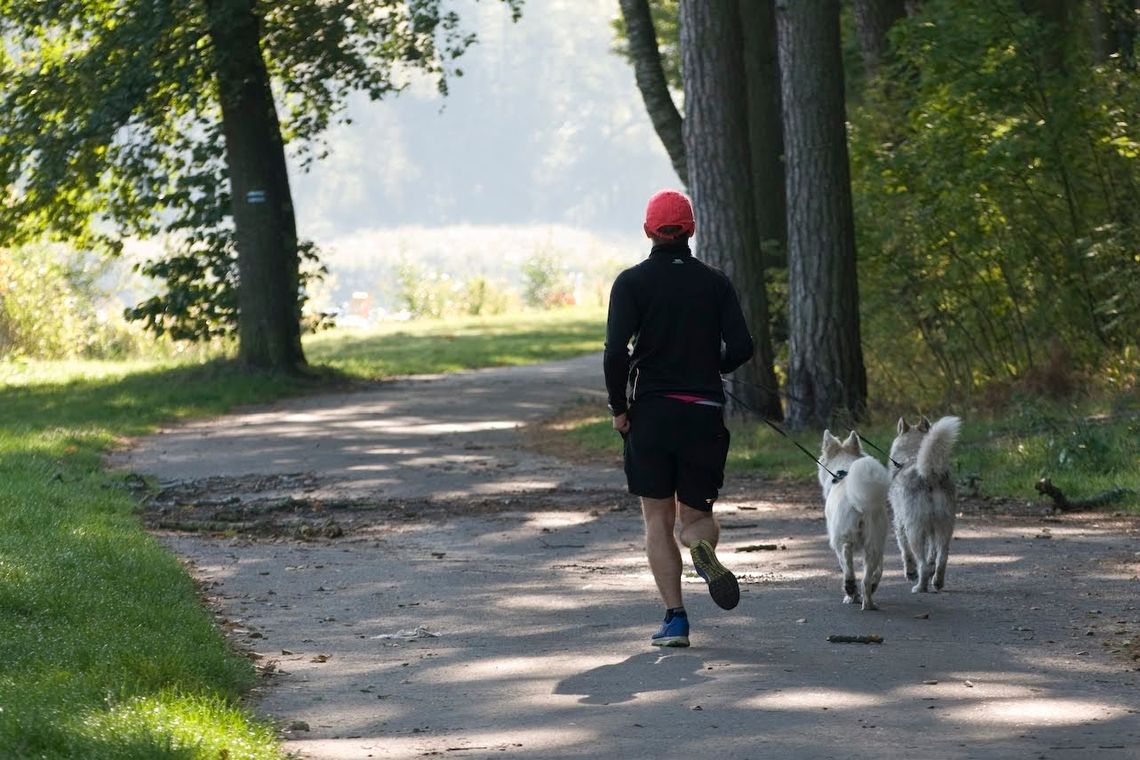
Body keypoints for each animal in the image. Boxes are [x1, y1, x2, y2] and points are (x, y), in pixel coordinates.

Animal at [820, 428, 889, 610]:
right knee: (867, 578)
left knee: (847, 559)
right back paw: (869, 602)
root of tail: (860, 502)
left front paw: (850, 595)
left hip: (843, 538)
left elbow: (843, 566)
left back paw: (851, 589)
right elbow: (879, 569)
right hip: (875, 541)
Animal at [889, 417, 962, 592]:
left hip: (914, 531)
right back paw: (937, 582)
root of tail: (930, 474)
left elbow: (906, 553)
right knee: (942, 558)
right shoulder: (933, 530)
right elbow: (932, 555)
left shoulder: (899, 525)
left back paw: (920, 586)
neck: (912, 455)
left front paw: (910, 573)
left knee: (921, 563)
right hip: (945, 526)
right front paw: (931, 569)